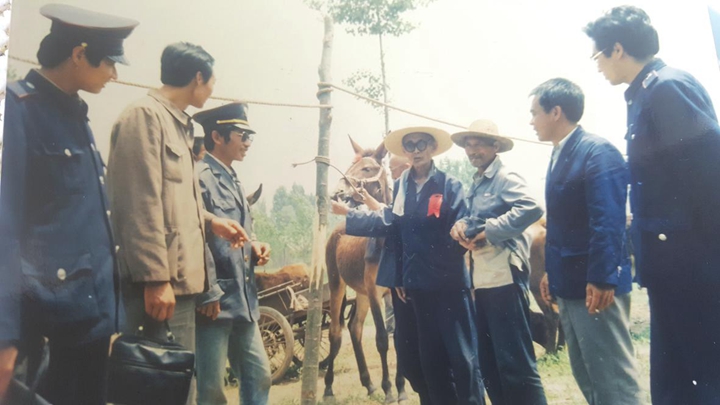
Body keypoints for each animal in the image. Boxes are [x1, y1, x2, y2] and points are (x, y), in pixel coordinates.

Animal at [324, 136, 404, 404]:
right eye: (351, 165)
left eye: (367, 168)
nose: (337, 193)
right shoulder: (374, 291)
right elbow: (382, 339)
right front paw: (388, 389)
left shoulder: (395, 293)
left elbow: (399, 338)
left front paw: (400, 388)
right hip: (338, 284)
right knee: (335, 333)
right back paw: (328, 388)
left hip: (360, 293)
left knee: (355, 328)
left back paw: (368, 384)